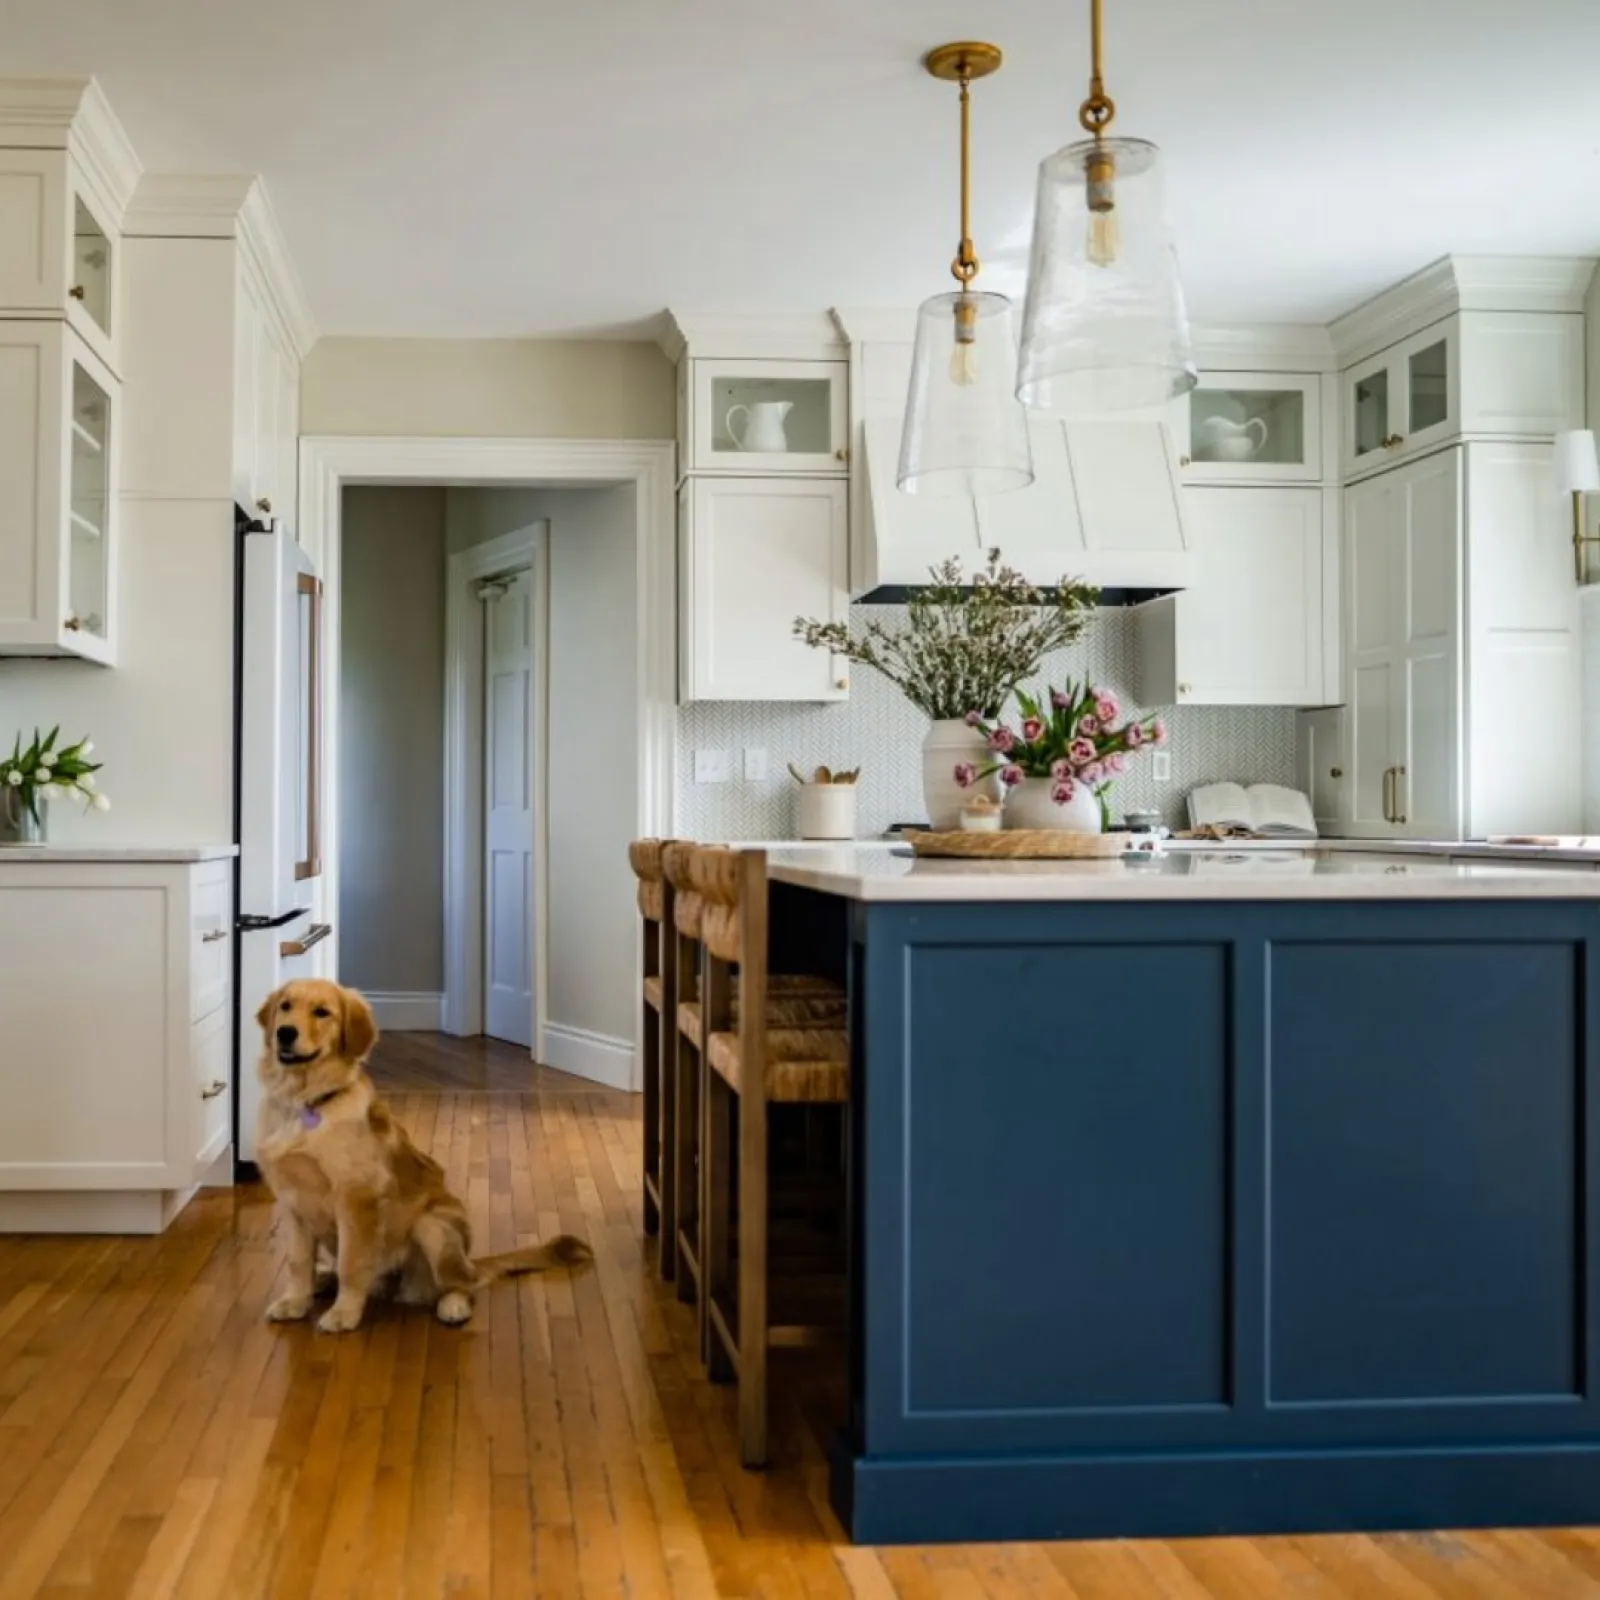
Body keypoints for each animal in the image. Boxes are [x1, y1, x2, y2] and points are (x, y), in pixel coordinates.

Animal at [256, 972, 595, 1337]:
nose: (284, 1032)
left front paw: (343, 1313)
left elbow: (351, 1262)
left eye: (322, 1012)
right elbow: (298, 1261)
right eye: (286, 1006)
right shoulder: (292, 1202)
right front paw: (295, 1301)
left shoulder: (356, 1199)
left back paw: (454, 1305)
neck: (303, 1101)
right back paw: (322, 1280)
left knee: (462, 1284)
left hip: (432, 1226)